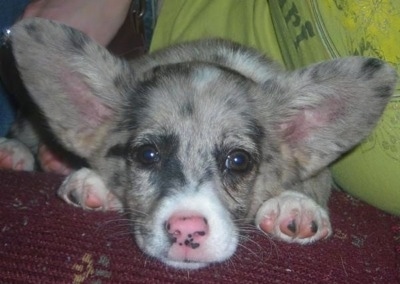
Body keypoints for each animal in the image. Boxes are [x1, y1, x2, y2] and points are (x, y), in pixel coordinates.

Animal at [0, 18, 396, 270]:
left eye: (238, 161)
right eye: (147, 155)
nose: (186, 231)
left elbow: (313, 182)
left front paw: (295, 206)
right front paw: (93, 181)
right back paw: (18, 153)